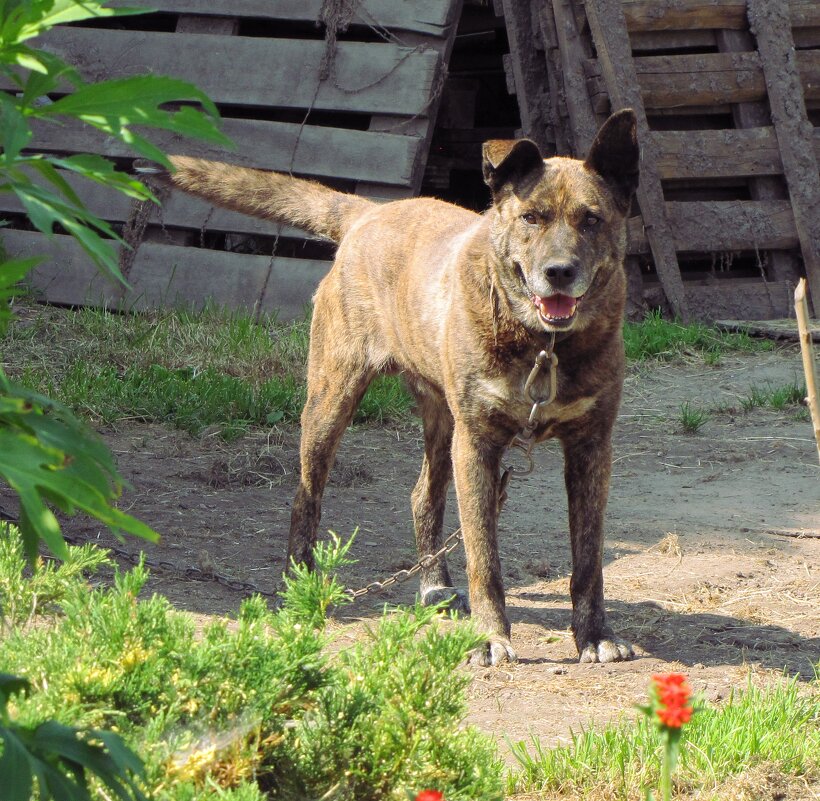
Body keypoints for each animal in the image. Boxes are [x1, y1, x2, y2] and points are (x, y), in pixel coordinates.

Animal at [143, 109, 640, 664]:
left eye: (592, 220)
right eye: (531, 217)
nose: (559, 273)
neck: (543, 345)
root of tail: (369, 213)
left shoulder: (591, 446)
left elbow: (588, 559)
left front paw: (594, 635)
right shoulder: (478, 443)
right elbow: (484, 558)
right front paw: (490, 637)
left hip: (441, 422)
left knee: (423, 495)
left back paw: (433, 584)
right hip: (332, 400)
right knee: (305, 495)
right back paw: (301, 580)